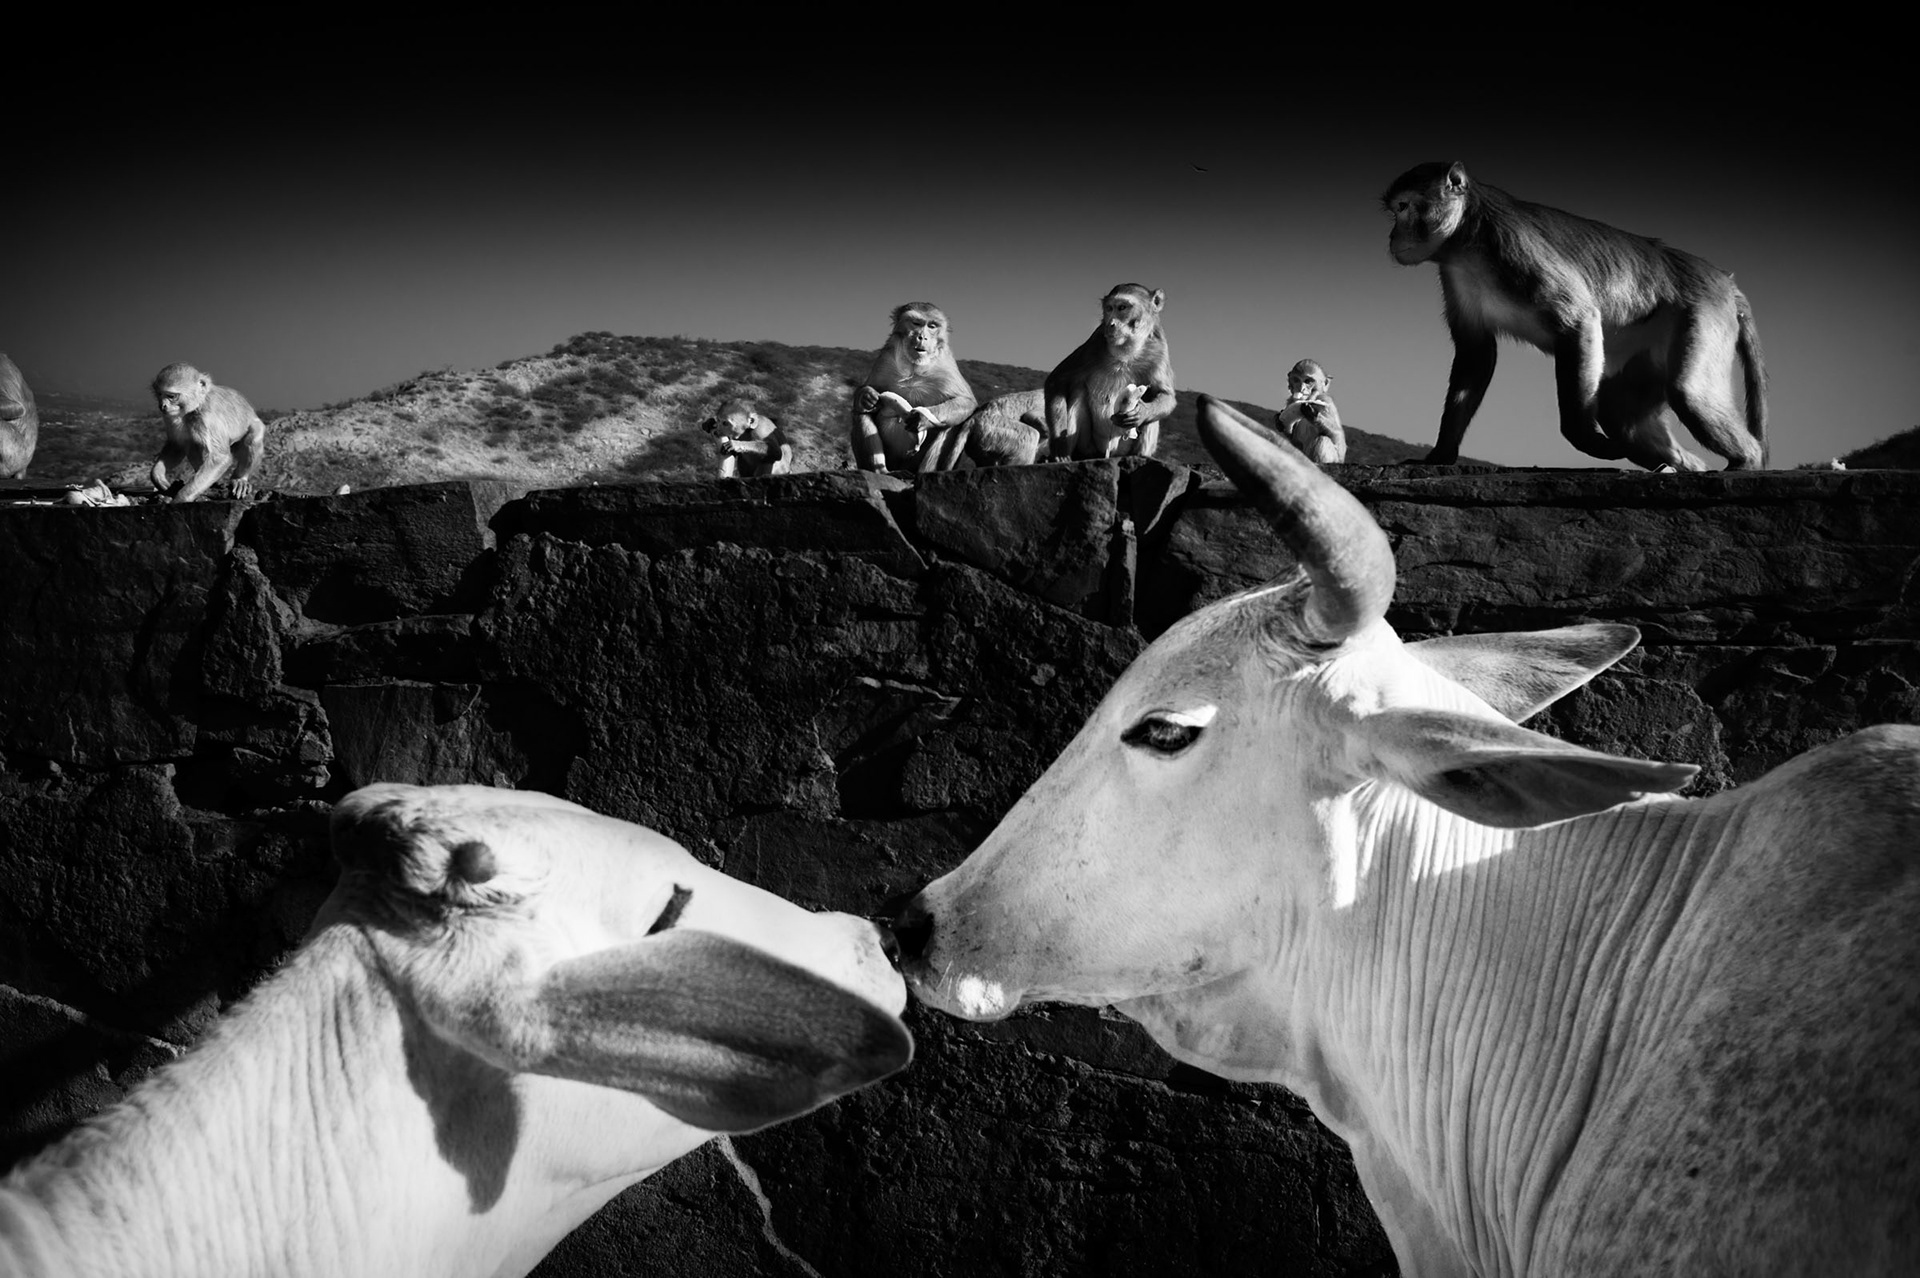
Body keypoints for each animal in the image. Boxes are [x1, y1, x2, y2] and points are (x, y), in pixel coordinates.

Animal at [149, 362, 266, 502]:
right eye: (159, 395)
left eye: (171, 396)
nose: (162, 406)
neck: (195, 407)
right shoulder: (170, 417)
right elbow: (177, 445)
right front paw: (158, 475)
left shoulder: (208, 417)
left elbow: (219, 458)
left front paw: (180, 498)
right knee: (192, 443)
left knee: (252, 437)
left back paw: (240, 479)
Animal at [849, 303, 977, 471]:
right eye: (916, 323)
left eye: (932, 326)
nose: (922, 337)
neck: (914, 368)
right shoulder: (885, 359)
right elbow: (867, 390)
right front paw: (867, 395)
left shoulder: (945, 365)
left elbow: (967, 401)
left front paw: (922, 418)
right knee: (861, 411)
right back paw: (878, 469)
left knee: (953, 424)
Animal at [1043, 284, 1175, 461]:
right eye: (1109, 308)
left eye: (1122, 307)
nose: (1110, 324)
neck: (1126, 350)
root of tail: (1108, 452)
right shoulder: (1094, 343)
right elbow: (1057, 380)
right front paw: (1059, 446)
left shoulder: (1159, 351)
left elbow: (1165, 394)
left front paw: (1141, 412)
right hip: (1089, 446)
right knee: (1078, 391)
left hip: (1123, 448)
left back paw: (1139, 456)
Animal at [1382, 161, 1766, 470]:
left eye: (1404, 207)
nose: (1392, 236)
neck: (1465, 240)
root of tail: (1724, 280)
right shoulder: (1455, 276)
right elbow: (1475, 354)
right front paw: (1439, 455)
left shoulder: (1512, 247)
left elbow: (1577, 319)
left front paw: (1586, 438)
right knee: (1620, 412)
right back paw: (1685, 465)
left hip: (1702, 313)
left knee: (1689, 392)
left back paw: (1747, 461)